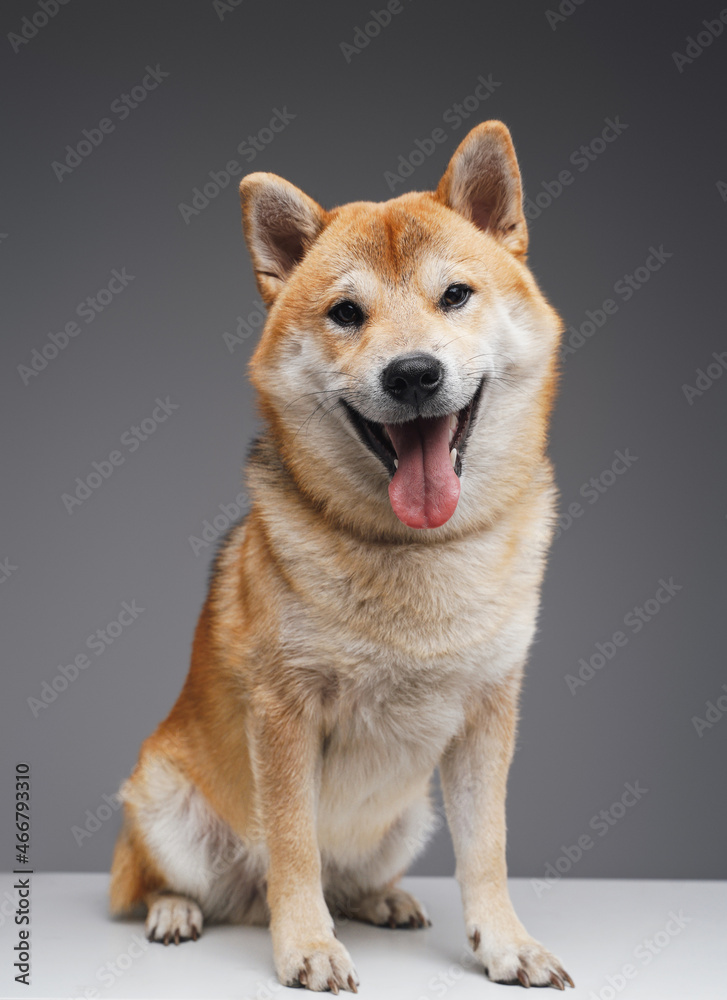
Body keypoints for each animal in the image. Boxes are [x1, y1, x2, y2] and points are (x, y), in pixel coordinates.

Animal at [108, 121, 576, 988]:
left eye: (454, 295)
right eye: (346, 312)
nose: (413, 373)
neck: (416, 550)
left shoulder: (487, 713)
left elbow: (487, 849)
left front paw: (506, 944)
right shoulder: (282, 714)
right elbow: (293, 846)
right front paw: (307, 948)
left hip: (408, 815)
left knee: (348, 875)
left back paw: (381, 899)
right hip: (159, 801)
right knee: (169, 879)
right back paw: (176, 911)